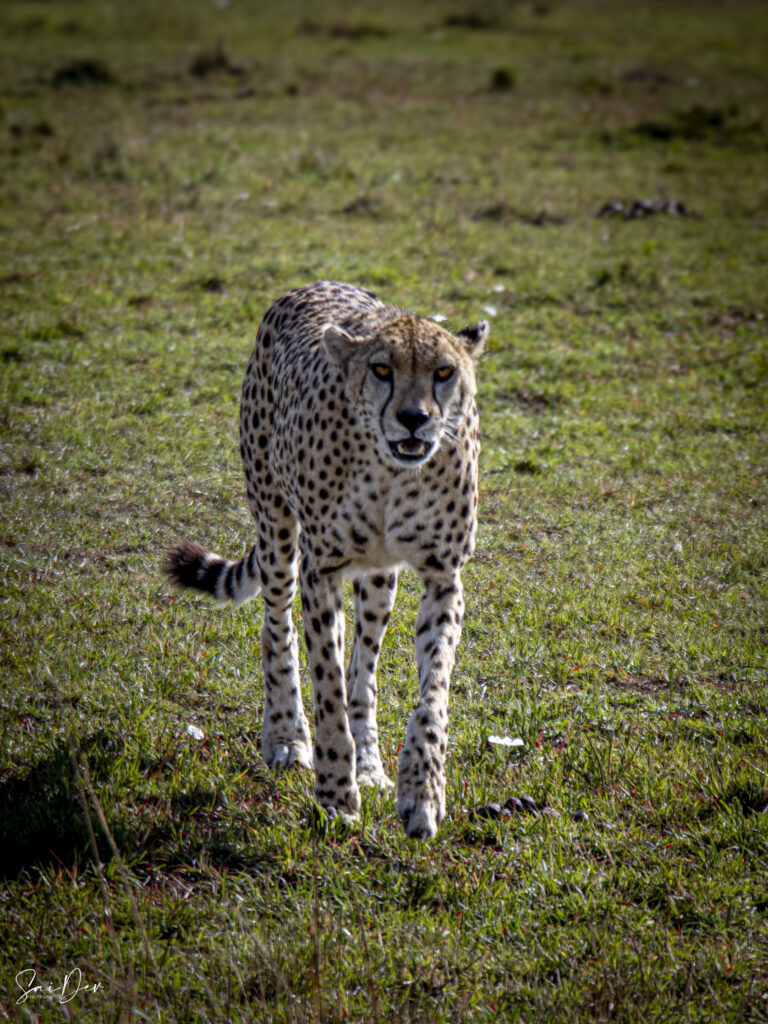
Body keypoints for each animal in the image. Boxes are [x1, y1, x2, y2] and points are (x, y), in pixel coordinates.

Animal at [165, 281, 488, 839]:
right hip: (277, 528)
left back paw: (371, 764)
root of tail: (312, 286)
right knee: (278, 626)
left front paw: (420, 790)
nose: (414, 419)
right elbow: (327, 688)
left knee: (364, 668)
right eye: (382, 369)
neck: (392, 474)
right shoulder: (321, 571)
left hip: (378, 579)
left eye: (444, 372)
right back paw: (287, 735)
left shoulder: (444, 576)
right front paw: (336, 793)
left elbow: (433, 694)